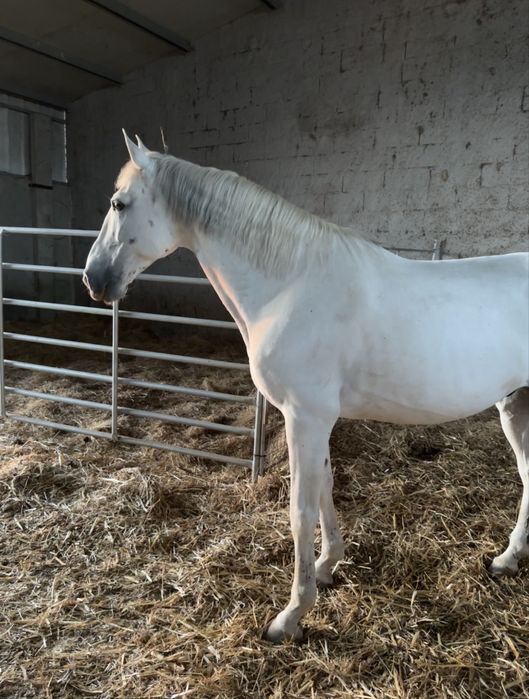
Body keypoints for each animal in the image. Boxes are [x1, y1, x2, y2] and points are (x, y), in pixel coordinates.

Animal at [83, 130, 529, 643]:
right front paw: (326, 566)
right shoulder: (315, 421)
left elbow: (300, 511)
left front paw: (291, 616)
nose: (93, 279)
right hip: (516, 405)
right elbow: (325, 489)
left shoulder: (306, 417)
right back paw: (508, 558)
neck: (290, 287)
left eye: (118, 203)